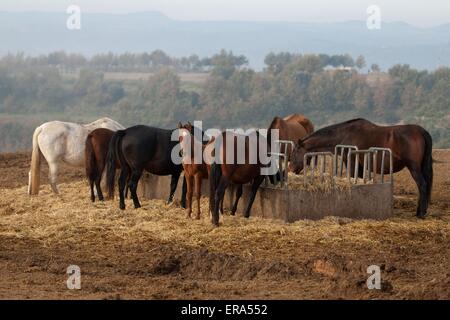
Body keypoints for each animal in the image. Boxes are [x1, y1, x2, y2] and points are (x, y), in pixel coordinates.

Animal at [288, 119, 432, 219]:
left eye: (295, 153)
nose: (290, 169)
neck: (344, 135)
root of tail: (421, 131)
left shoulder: (351, 161)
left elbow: (352, 178)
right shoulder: (361, 166)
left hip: (414, 168)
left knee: (422, 185)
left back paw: (420, 213)